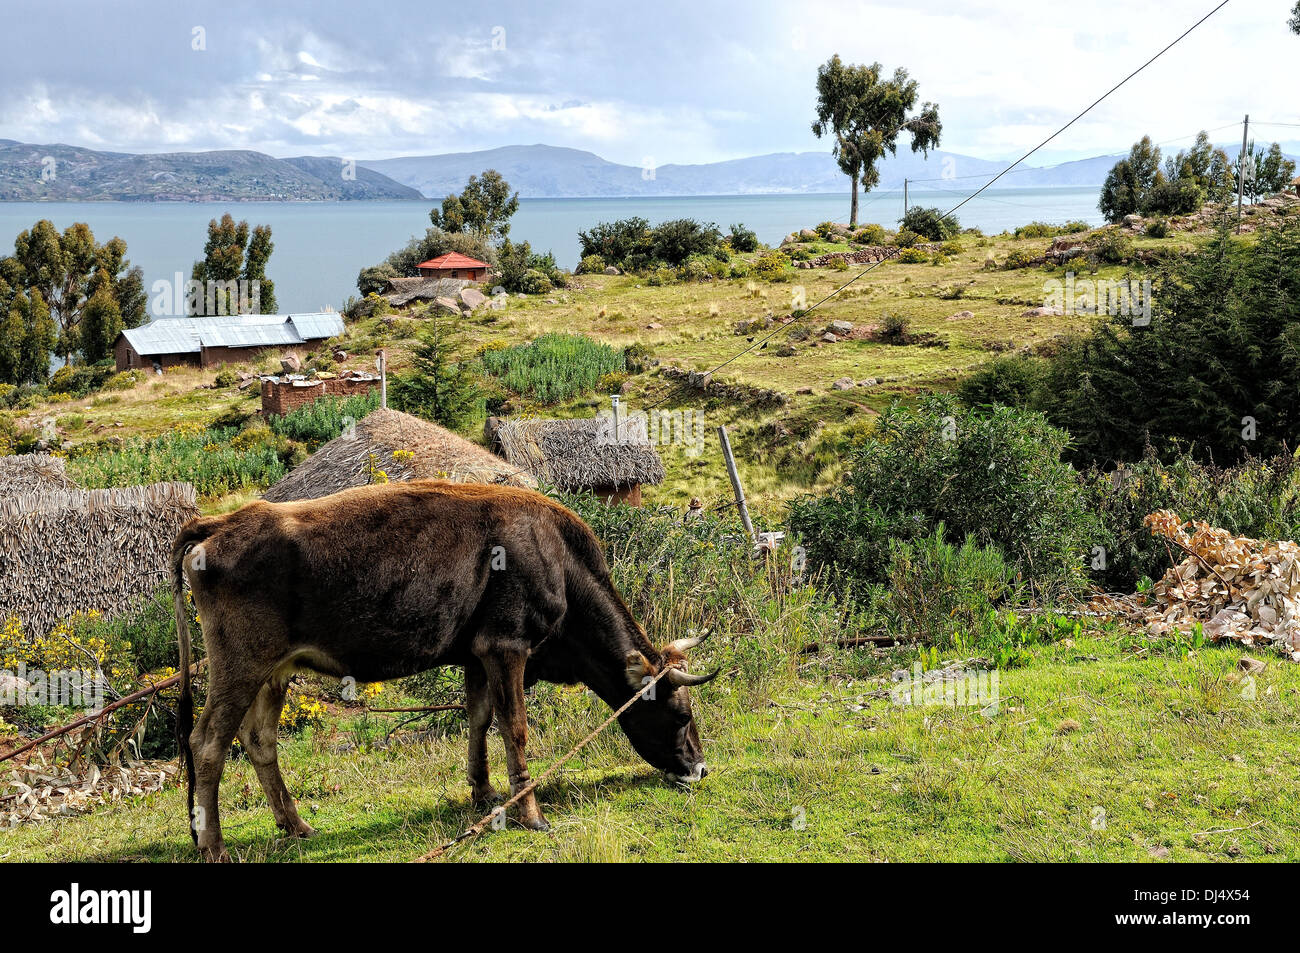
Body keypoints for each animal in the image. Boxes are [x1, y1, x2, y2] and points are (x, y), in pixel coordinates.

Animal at [171, 478, 717, 858]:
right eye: (682, 715)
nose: (700, 769)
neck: (559, 562)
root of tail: (221, 523)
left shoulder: (477, 655)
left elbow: (479, 720)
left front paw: (484, 793)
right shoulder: (506, 646)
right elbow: (515, 727)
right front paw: (530, 813)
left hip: (275, 671)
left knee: (259, 740)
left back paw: (295, 825)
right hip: (240, 664)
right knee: (208, 744)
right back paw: (214, 845)